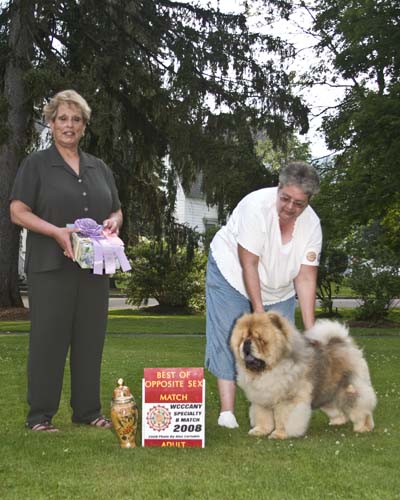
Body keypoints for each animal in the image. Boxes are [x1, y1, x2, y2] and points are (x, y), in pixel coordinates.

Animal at [230, 311, 377, 439]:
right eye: (243, 338)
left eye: (260, 339)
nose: (247, 342)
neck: (269, 370)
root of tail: (343, 344)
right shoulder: (261, 399)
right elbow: (262, 417)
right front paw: (260, 430)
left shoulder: (288, 399)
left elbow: (283, 418)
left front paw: (280, 434)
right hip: (327, 391)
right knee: (336, 409)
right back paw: (337, 422)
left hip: (349, 389)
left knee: (361, 408)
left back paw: (363, 427)